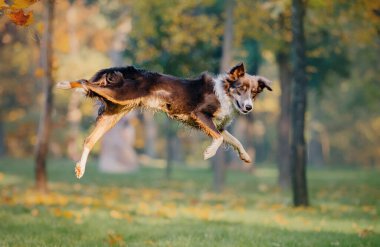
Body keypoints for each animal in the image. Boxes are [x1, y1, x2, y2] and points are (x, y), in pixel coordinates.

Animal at [56, 61, 272, 178]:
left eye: (254, 93)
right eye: (241, 88)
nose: (248, 107)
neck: (225, 94)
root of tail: (132, 70)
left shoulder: (217, 125)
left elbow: (235, 140)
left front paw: (245, 156)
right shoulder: (200, 115)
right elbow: (218, 139)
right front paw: (209, 153)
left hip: (115, 111)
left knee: (89, 140)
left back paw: (80, 168)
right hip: (120, 95)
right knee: (85, 82)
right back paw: (65, 84)